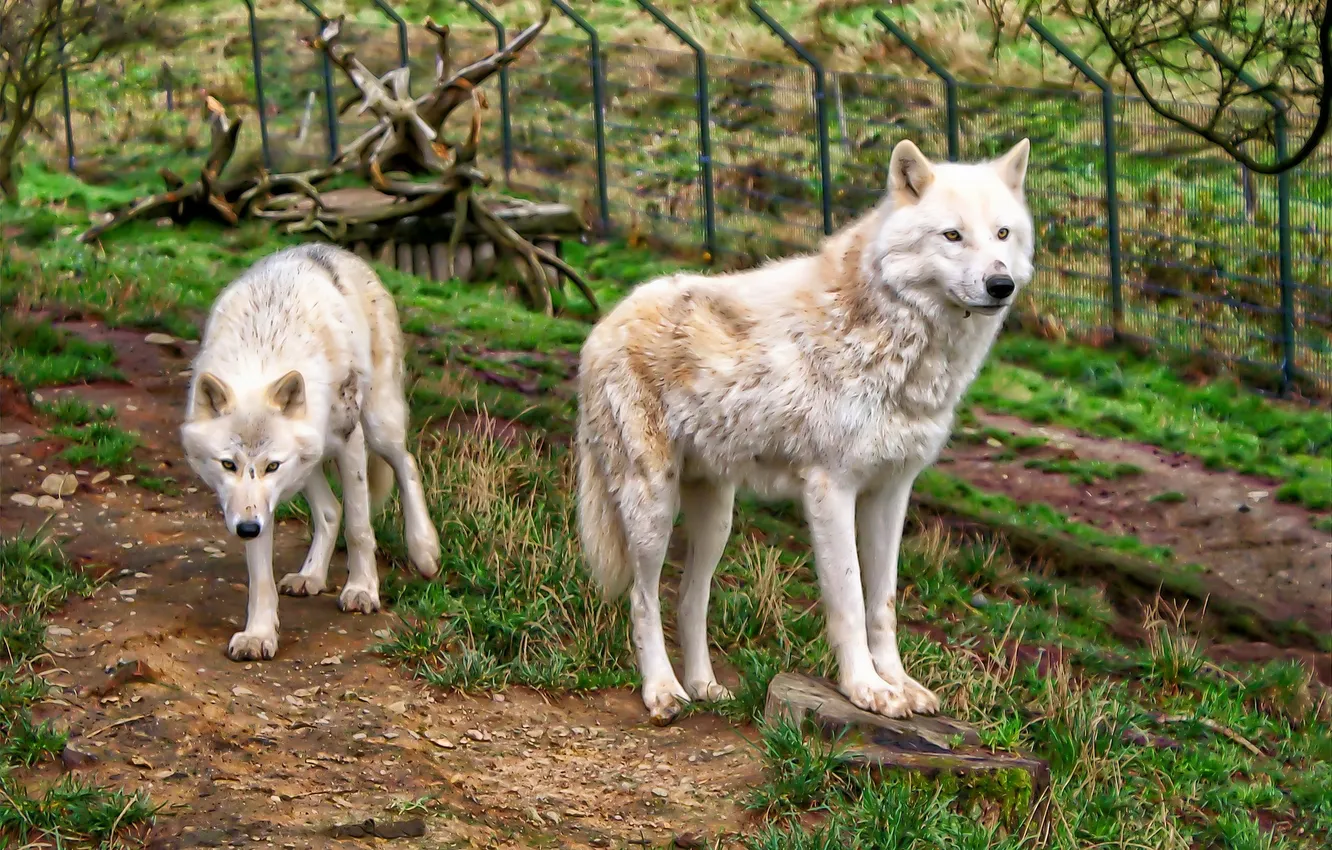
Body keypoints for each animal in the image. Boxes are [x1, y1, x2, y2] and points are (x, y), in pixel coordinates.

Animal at [181, 243, 441, 661]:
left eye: (272, 465)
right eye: (228, 464)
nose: (247, 529)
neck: (263, 355)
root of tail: (330, 249)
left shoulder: (349, 440)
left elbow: (359, 527)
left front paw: (362, 590)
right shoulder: (256, 505)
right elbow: (261, 575)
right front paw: (258, 634)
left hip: (378, 426)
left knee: (406, 464)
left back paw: (424, 549)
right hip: (310, 463)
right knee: (330, 510)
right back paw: (310, 576)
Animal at [576, 138, 1033, 724]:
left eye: (1003, 234)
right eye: (952, 235)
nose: (1001, 284)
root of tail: (603, 324)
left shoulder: (891, 493)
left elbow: (883, 603)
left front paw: (901, 686)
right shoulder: (830, 490)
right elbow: (851, 600)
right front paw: (866, 690)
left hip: (717, 517)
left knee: (690, 599)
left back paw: (704, 687)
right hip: (652, 506)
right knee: (643, 597)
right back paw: (662, 692)